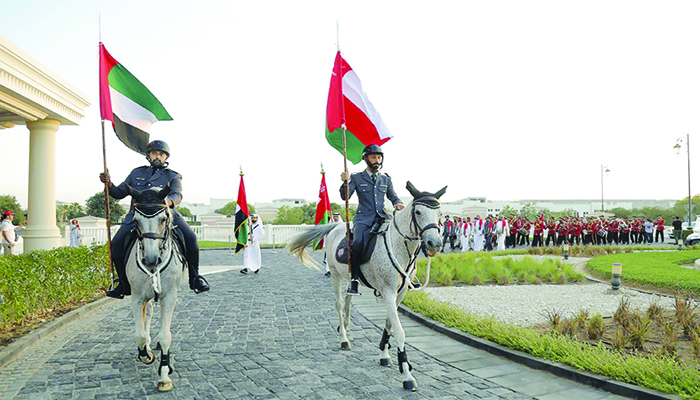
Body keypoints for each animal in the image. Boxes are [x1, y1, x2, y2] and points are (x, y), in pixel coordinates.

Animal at [125, 186, 186, 392]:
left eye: (163, 218)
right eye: (136, 220)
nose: (151, 260)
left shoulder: (169, 297)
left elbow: (166, 336)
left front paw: (164, 376)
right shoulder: (136, 297)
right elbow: (139, 335)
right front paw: (145, 354)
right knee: (148, 314)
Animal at [288, 182, 446, 390]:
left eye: (440, 214)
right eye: (418, 212)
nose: (434, 244)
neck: (398, 245)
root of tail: (337, 226)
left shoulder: (400, 293)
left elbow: (389, 325)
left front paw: (385, 355)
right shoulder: (388, 292)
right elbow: (399, 331)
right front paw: (407, 376)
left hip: (350, 276)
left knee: (349, 296)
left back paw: (345, 325)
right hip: (335, 274)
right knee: (339, 304)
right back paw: (344, 338)